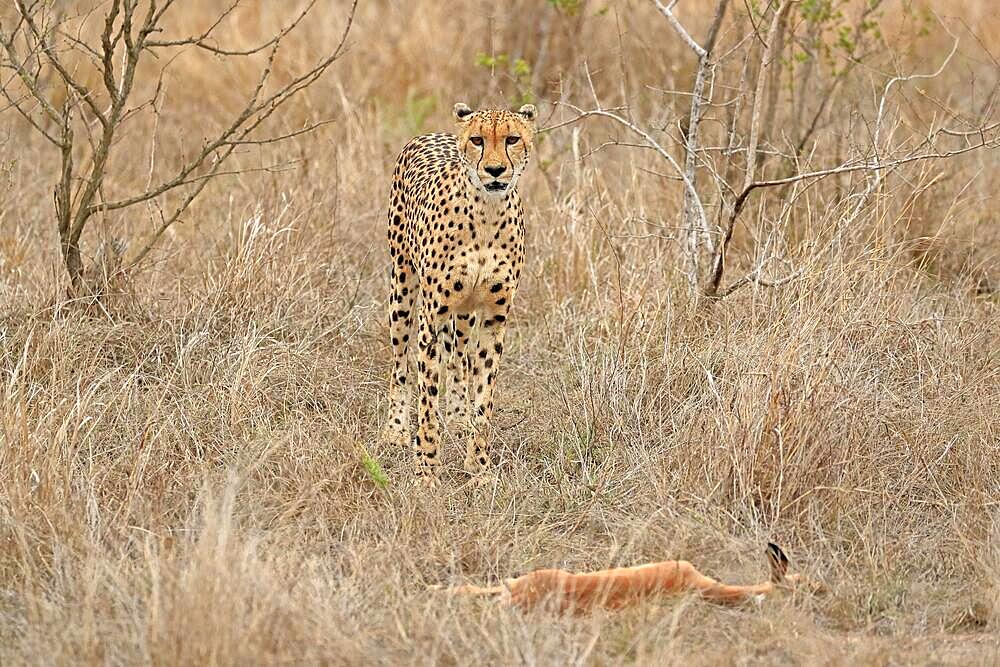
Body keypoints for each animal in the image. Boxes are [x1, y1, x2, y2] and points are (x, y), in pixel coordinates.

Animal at [382, 102, 540, 486]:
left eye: (512, 139)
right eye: (478, 140)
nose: (495, 170)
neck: (486, 215)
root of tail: (433, 133)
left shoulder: (495, 319)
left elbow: (483, 400)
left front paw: (479, 469)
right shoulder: (430, 316)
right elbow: (426, 400)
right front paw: (426, 471)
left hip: (466, 311)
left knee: (457, 357)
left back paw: (456, 417)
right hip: (402, 288)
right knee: (399, 363)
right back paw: (396, 430)